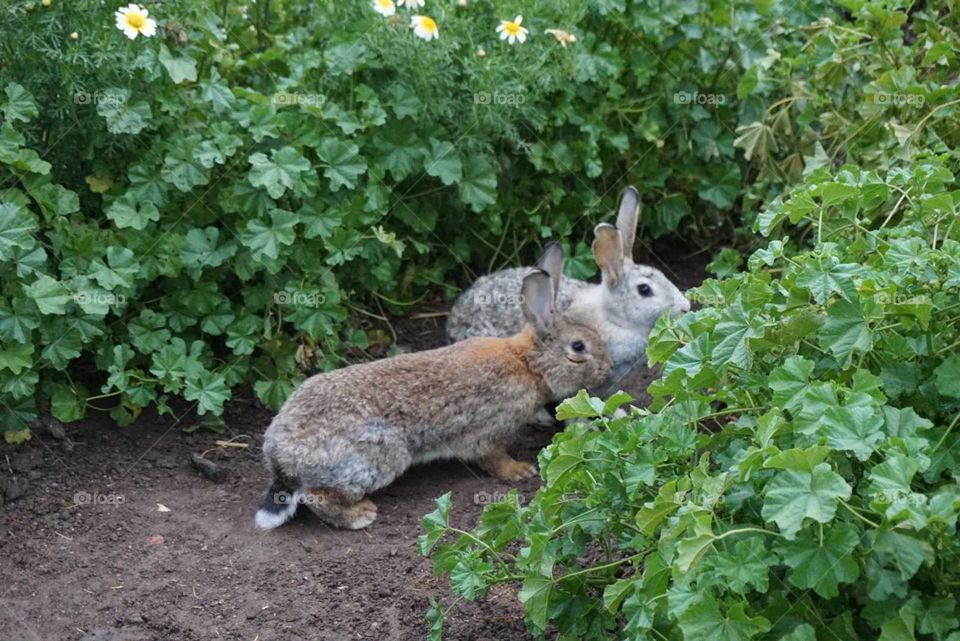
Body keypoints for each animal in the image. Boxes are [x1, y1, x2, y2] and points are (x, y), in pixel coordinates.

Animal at [255, 242, 612, 528]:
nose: (608, 368)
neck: (527, 364)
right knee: (317, 496)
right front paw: (519, 471)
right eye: (578, 347)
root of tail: (279, 455)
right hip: (382, 455)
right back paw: (361, 515)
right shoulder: (488, 430)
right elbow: (491, 457)